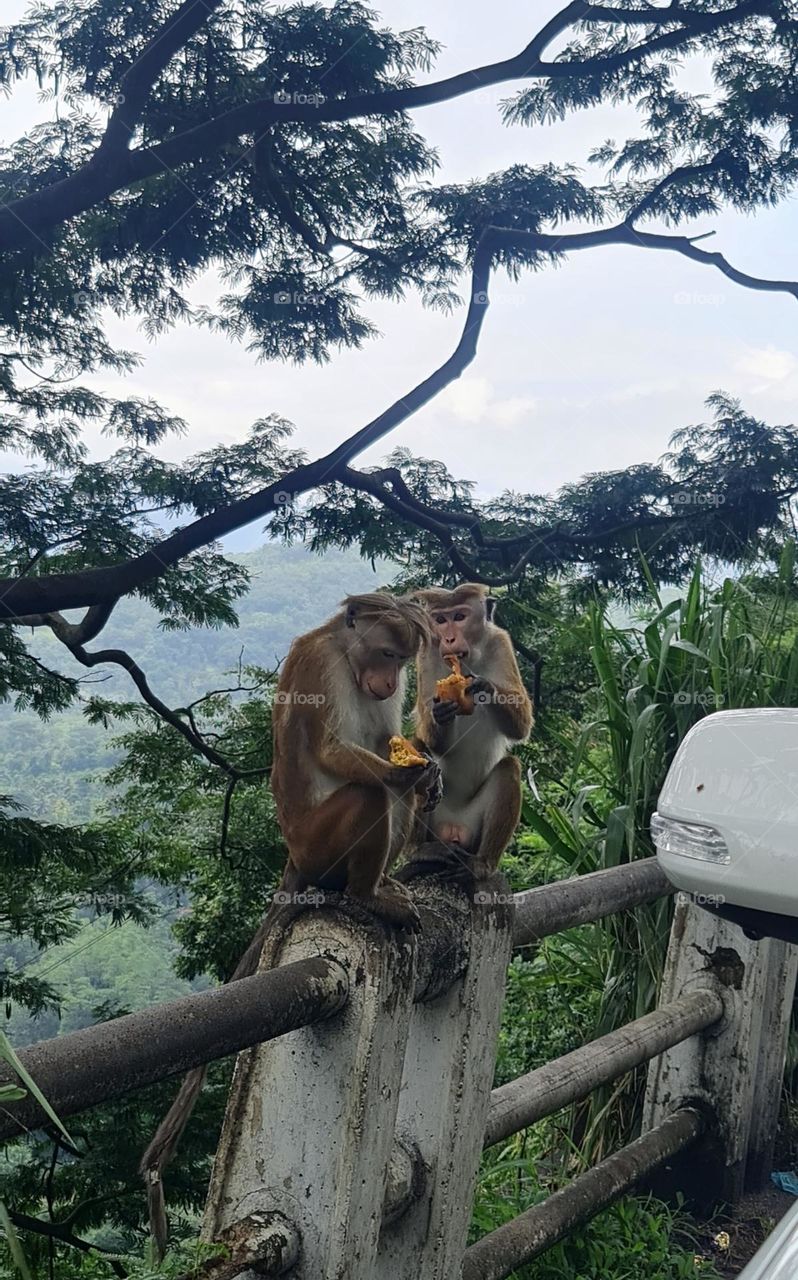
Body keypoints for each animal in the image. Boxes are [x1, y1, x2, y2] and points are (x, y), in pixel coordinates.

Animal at [141, 592, 439, 1258]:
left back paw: (384, 883)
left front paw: (425, 762)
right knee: (369, 792)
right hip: (321, 844)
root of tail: (295, 859)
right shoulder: (318, 666)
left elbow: (385, 737)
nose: (387, 680)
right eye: (386, 653)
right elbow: (334, 750)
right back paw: (365, 895)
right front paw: (407, 769)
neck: (348, 655)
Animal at [405, 583, 533, 883]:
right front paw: (440, 712)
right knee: (419, 750)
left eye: (460, 616)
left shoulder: (501, 642)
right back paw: (419, 850)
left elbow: (521, 726)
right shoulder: (426, 654)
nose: (449, 638)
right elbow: (430, 739)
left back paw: (481, 864)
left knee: (509, 768)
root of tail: (453, 830)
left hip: (473, 830)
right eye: (440, 620)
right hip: (435, 821)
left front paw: (483, 686)